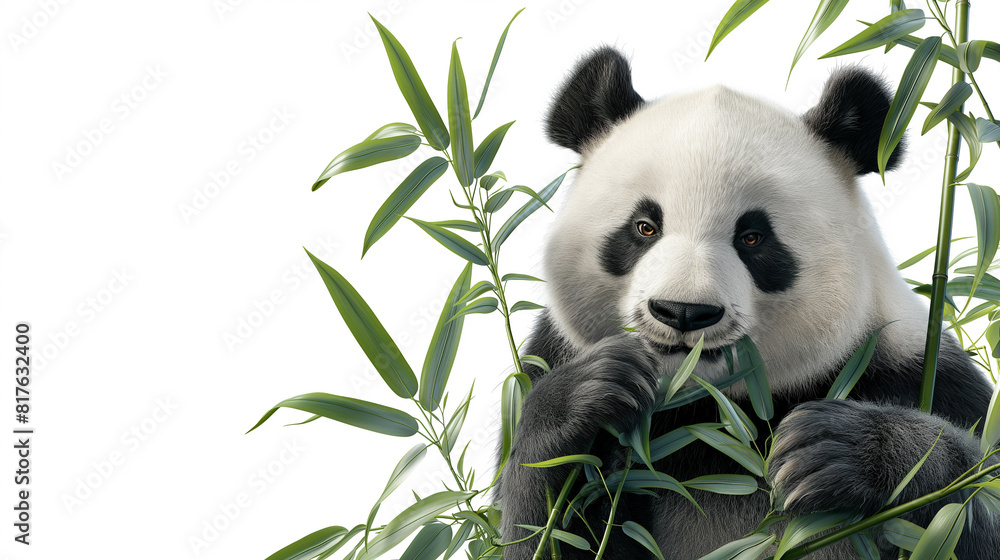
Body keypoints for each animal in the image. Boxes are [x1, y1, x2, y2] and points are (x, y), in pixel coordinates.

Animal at [497, 47, 1000, 559]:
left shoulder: (914, 371)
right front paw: (592, 390)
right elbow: (546, 527)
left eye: (753, 237)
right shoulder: (550, 358)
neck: (713, 409)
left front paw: (834, 449)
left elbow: (969, 503)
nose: (683, 311)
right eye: (644, 226)